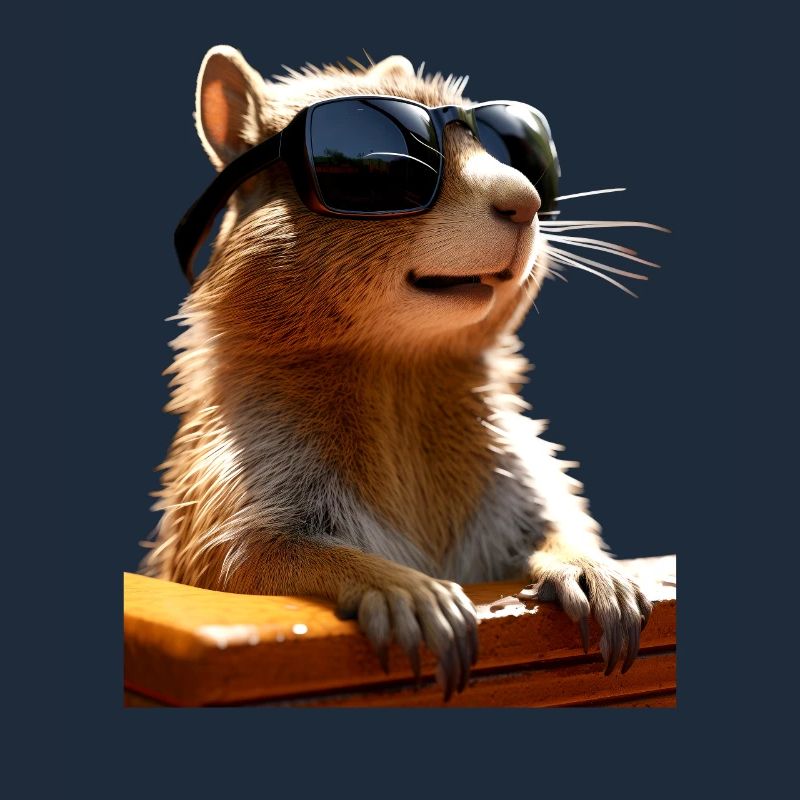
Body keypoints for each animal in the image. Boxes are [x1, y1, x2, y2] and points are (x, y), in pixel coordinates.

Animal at [141, 45, 654, 700]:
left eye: (520, 152)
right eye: (381, 167)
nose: (527, 201)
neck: (399, 368)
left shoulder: (521, 472)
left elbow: (553, 521)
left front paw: (594, 569)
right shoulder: (235, 476)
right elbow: (248, 557)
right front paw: (407, 589)